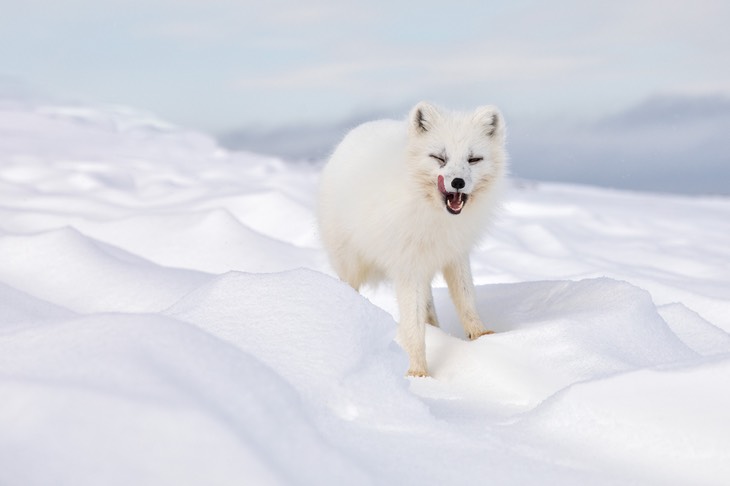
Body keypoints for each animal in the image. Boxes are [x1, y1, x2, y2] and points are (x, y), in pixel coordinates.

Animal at [318, 101, 506, 376]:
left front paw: (482, 336)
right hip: (350, 264)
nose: (457, 182)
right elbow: (412, 327)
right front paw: (418, 373)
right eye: (439, 157)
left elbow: (466, 299)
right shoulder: (408, 267)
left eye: (473, 159)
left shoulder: (456, 255)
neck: (436, 217)